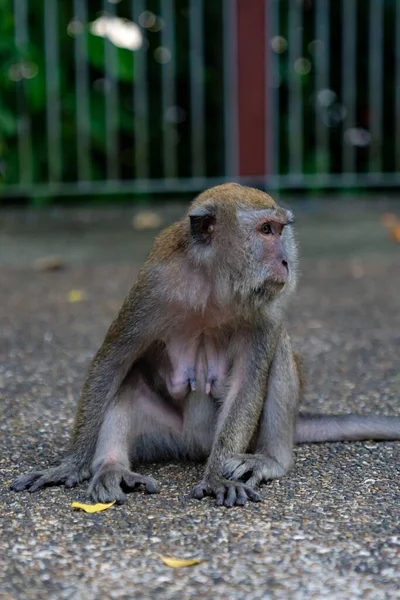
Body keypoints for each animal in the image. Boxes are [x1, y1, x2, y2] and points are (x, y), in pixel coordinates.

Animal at [9, 182, 400, 506]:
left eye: (279, 231)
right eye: (266, 230)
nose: (286, 261)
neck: (214, 282)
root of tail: (194, 444)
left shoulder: (266, 310)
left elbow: (247, 382)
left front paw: (215, 477)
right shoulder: (152, 287)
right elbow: (112, 362)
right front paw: (71, 465)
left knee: (278, 350)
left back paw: (271, 459)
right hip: (166, 436)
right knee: (130, 378)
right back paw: (111, 467)